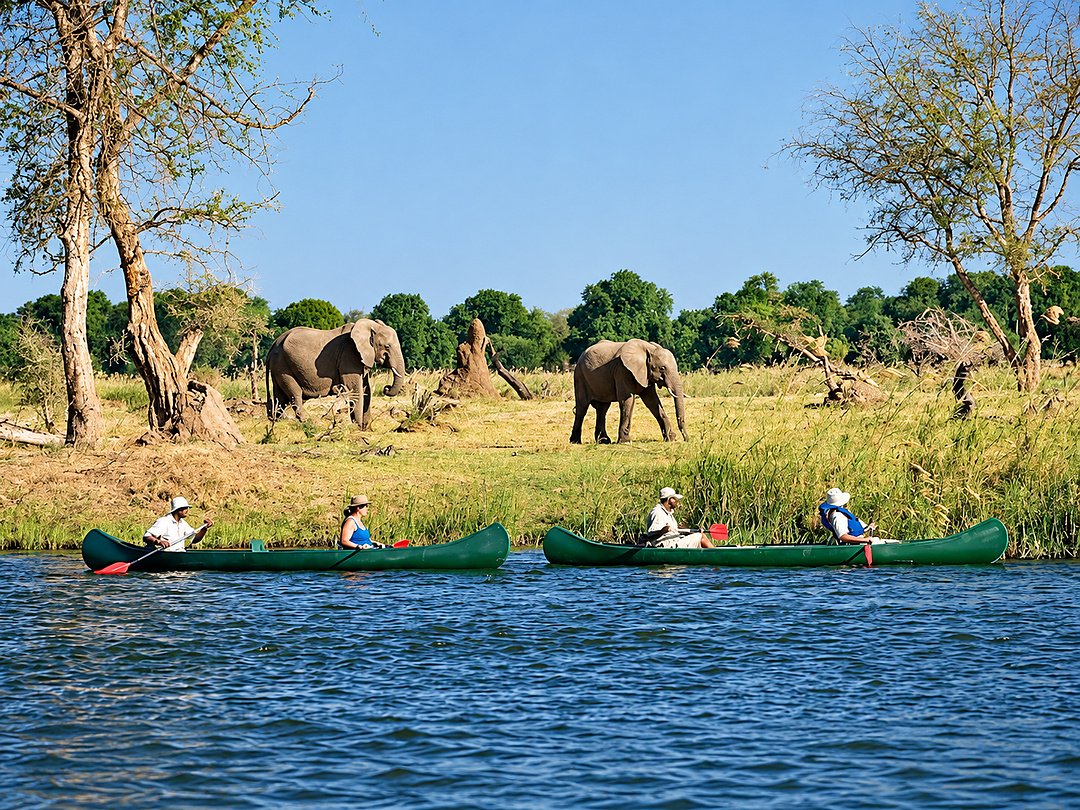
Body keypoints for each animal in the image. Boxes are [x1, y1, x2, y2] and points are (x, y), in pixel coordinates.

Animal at [265, 319, 406, 429]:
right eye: (387, 346)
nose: (386, 388)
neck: (370, 326)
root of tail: (274, 343)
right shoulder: (349, 355)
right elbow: (356, 389)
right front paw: (358, 427)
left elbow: (366, 389)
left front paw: (366, 429)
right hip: (282, 366)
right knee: (295, 394)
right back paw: (307, 422)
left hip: (279, 367)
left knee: (280, 397)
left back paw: (277, 421)